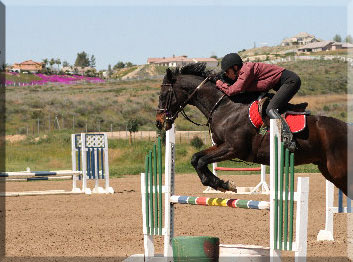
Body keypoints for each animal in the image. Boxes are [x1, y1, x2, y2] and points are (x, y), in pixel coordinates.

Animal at [155, 63, 350, 198]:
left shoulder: (234, 148)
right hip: (328, 171)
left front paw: (224, 184)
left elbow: (202, 161)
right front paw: (219, 184)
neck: (224, 107)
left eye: (163, 95)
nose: (159, 122)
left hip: (338, 172)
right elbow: (196, 158)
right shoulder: (220, 145)